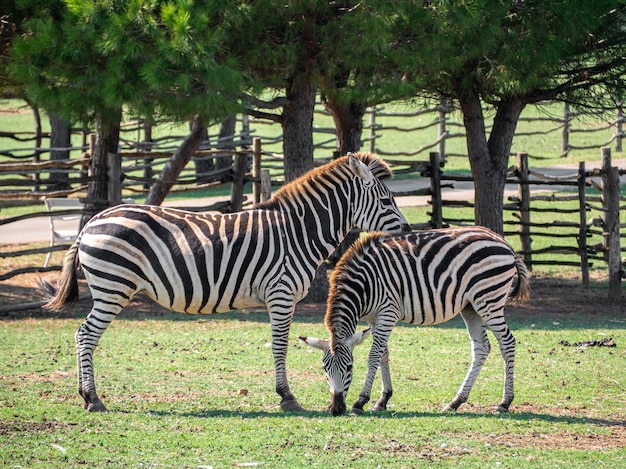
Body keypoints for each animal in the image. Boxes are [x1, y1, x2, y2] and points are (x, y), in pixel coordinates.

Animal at [40, 153, 410, 410]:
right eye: (386, 201)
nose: (407, 231)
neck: (296, 234)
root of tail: (92, 222)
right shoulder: (281, 293)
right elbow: (280, 345)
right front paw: (286, 396)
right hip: (113, 288)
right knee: (86, 335)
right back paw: (92, 398)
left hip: (110, 288)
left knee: (83, 335)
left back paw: (85, 396)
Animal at [300, 226, 528, 414]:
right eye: (324, 369)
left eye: (349, 367)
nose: (336, 409)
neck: (364, 285)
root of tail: (503, 242)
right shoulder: (375, 318)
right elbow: (383, 354)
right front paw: (383, 400)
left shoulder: (388, 312)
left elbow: (374, 356)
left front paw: (361, 401)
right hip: (471, 307)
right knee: (481, 347)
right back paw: (456, 402)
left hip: (489, 299)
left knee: (507, 342)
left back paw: (505, 402)